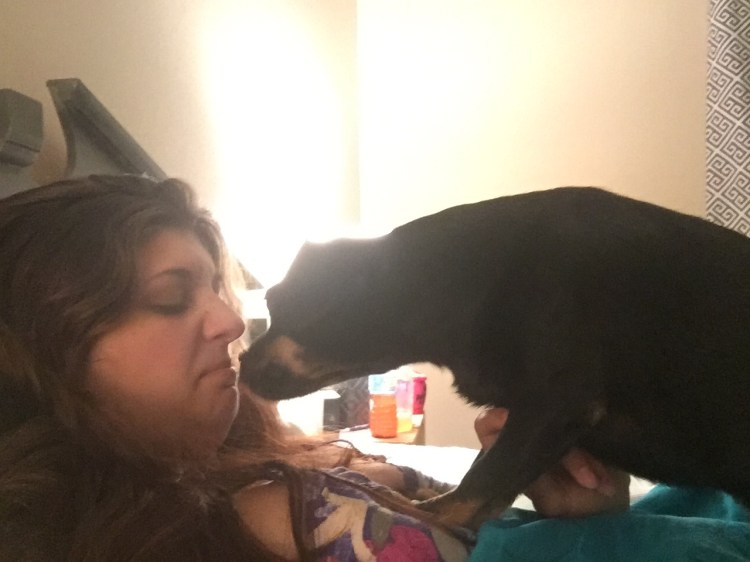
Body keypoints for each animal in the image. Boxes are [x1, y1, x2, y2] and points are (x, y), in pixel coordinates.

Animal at [240, 187, 750, 527]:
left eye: (279, 304)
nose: (241, 365)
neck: (463, 279)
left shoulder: (555, 404)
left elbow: (473, 489)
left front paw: (413, 506)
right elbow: (484, 475)